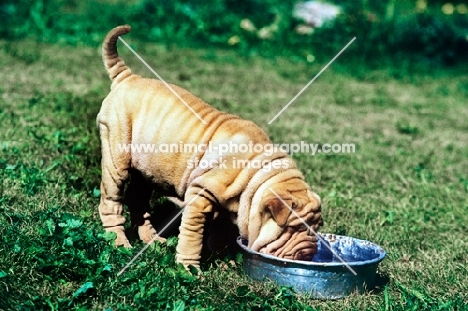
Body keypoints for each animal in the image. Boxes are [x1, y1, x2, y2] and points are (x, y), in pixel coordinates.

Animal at [97, 25, 324, 270]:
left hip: (146, 169)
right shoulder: (200, 195)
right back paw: (120, 243)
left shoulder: (227, 208)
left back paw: (153, 240)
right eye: (293, 228)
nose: (308, 255)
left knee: (138, 199)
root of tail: (127, 77)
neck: (255, 175)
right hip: (116, 151)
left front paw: (224, 262)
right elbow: (192, 235)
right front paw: (189, 269)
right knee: (112, 200)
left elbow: (219, 235)